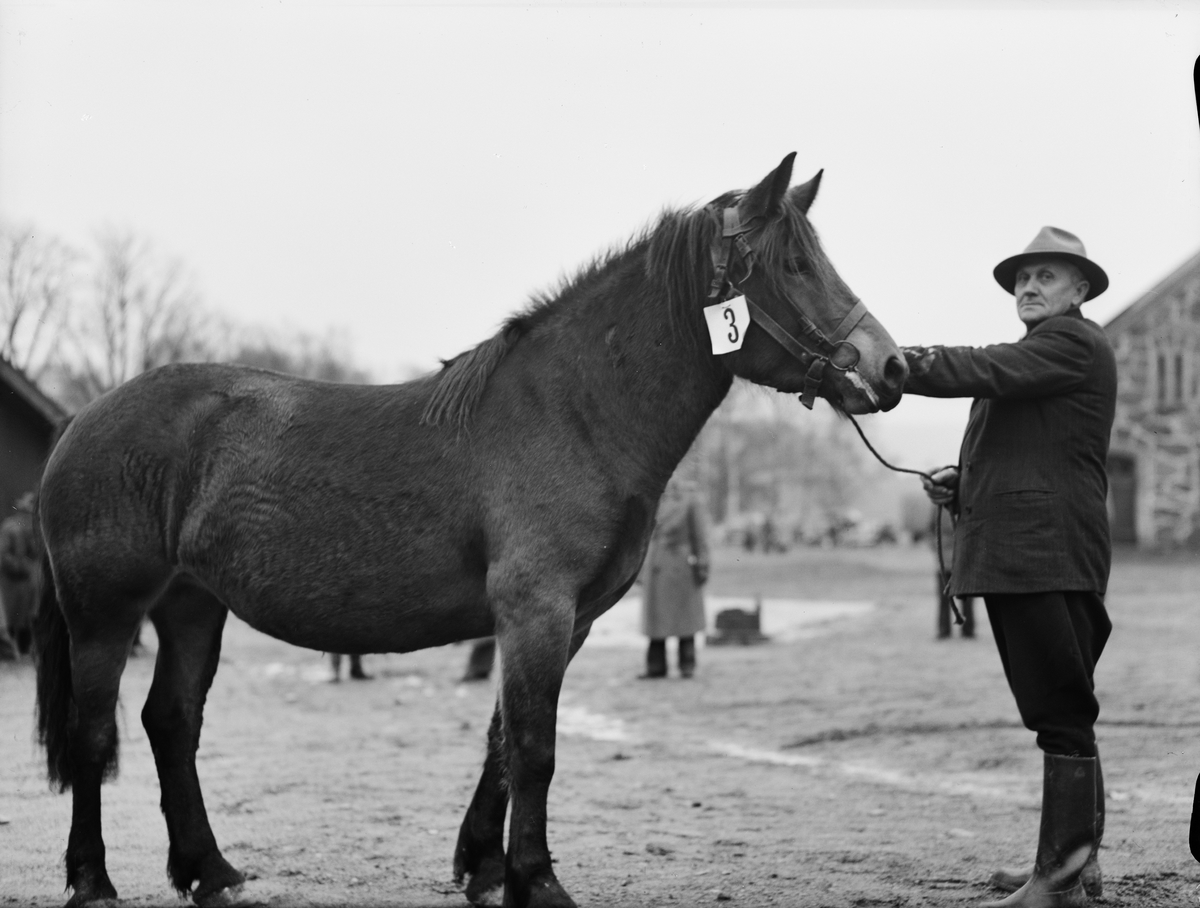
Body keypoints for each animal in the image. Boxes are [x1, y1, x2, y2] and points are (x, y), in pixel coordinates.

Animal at [33, 153, 907, 908]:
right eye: (792, 266)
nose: (890, 366)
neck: (574, 412)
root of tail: (81, 420)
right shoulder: (537, 610)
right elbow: (534, 747)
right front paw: (538, 881)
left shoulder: (564, 621)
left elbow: (501, 742)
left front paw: (486, 869)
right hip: (106, 614)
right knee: (92, 733)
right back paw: (93, 882)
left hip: (191, 606)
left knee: (171, 723)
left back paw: (210, 872)